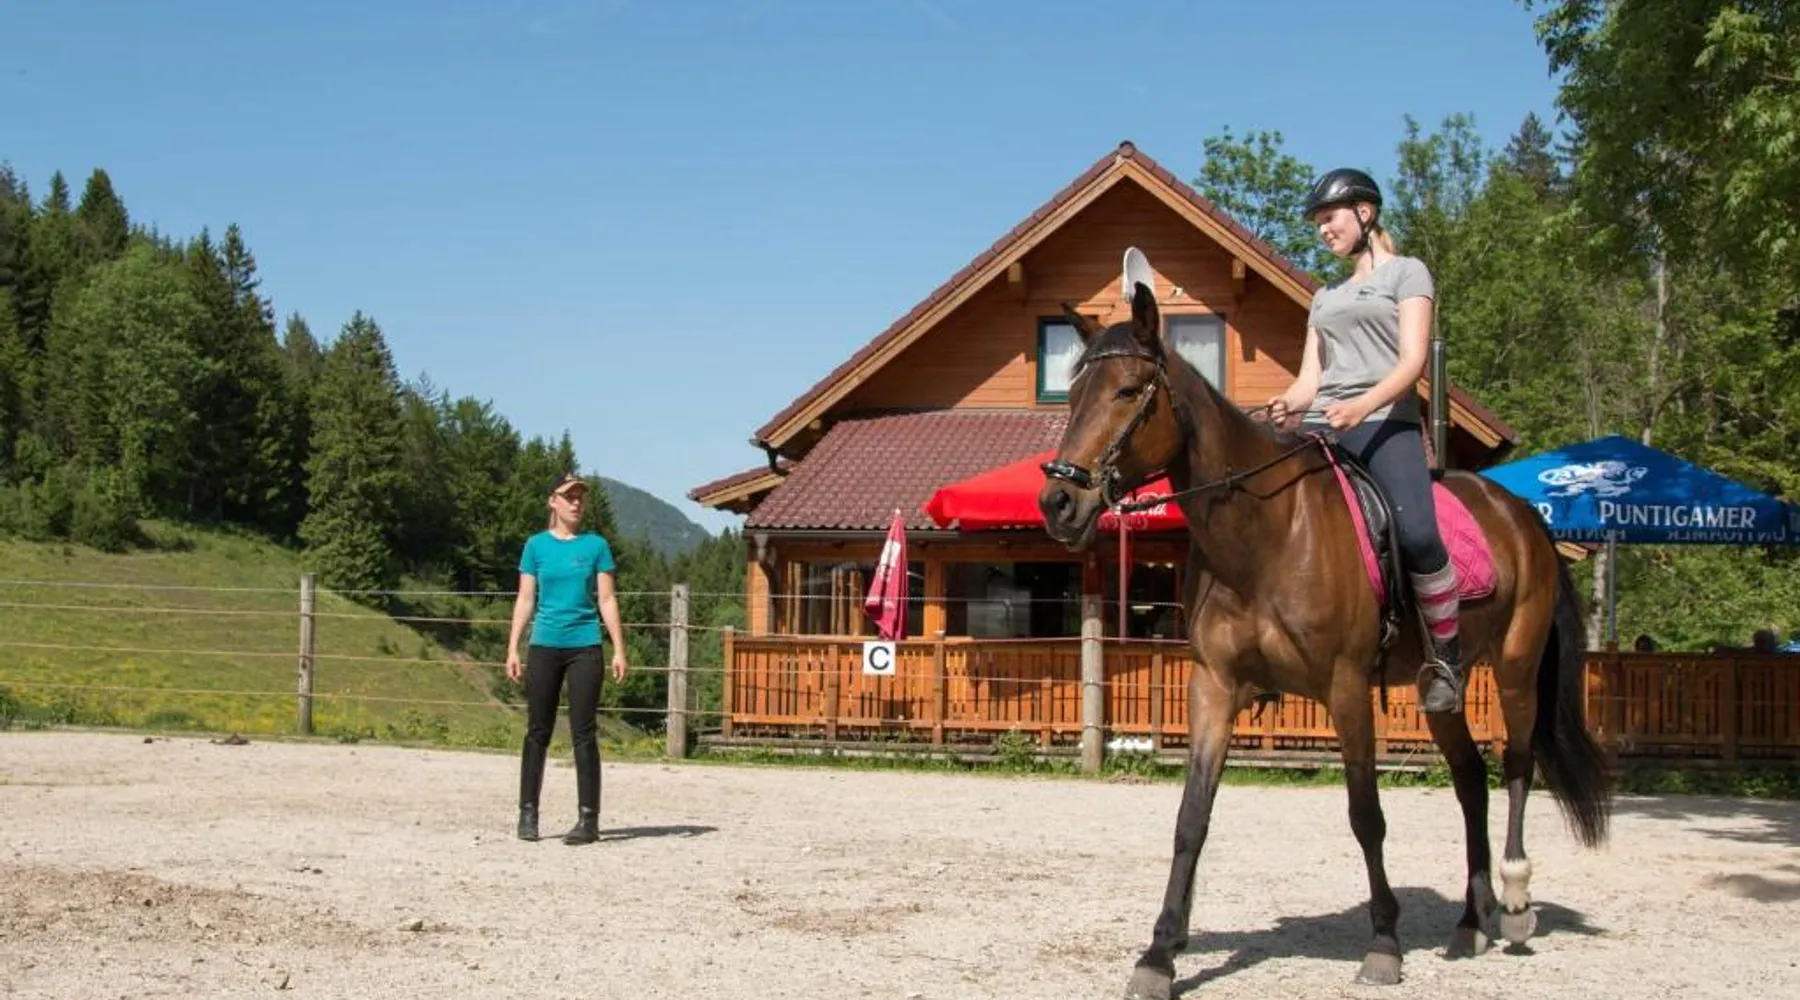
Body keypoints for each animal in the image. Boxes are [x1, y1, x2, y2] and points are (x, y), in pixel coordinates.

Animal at [1036, 281, 1612, 997]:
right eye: (1072, 393)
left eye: (1126, 391)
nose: (1058, 503)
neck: (1267, 533)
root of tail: (1523, 514)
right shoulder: (1213, 686)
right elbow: (1191, 819)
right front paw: (1160, 953)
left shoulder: (1344, 688)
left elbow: (1366, 815)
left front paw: (1385, 943)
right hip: (1442, 690)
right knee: (1470, 779)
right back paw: (1469, 922)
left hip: (1514, 670)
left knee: (1517, 766)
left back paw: (1512, 900)